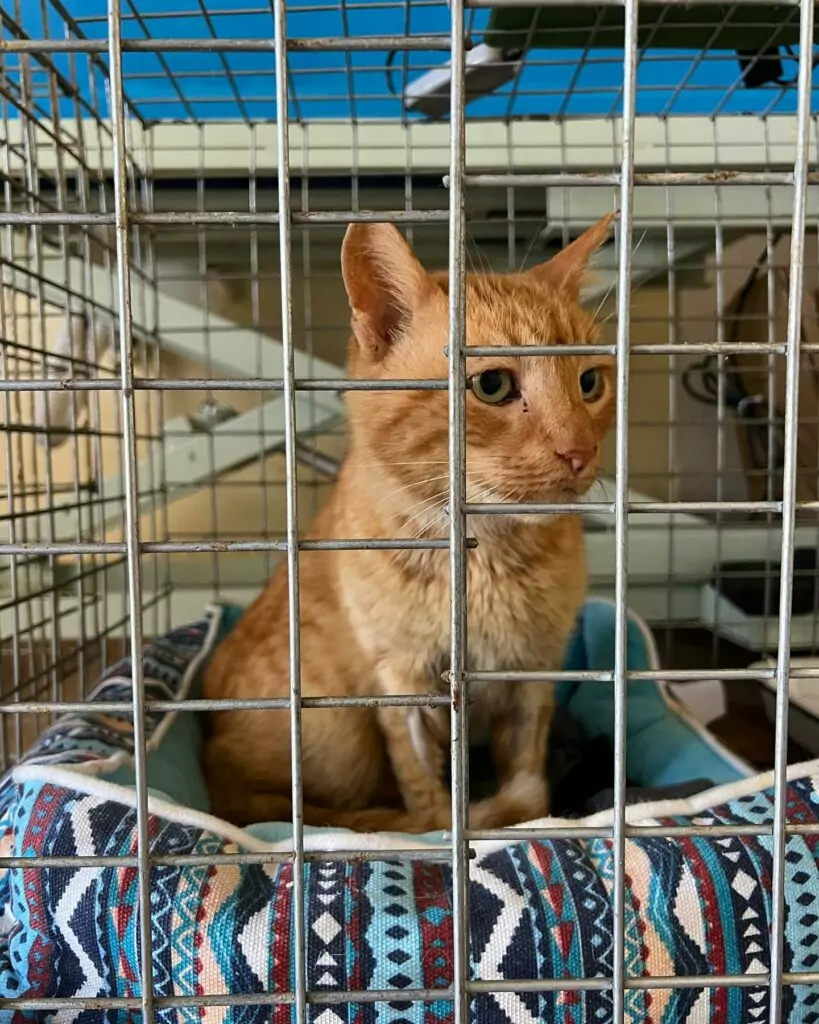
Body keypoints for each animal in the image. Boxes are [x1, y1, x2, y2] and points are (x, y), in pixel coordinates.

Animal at [202, 213, 616, 833]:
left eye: (590, 383)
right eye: (493, 385)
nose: (579, 452)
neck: (483, 557)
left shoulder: (530, 677)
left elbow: (528, 787)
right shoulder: (403, 683)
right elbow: (427, 799)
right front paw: (448, 822)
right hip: (339, 737)